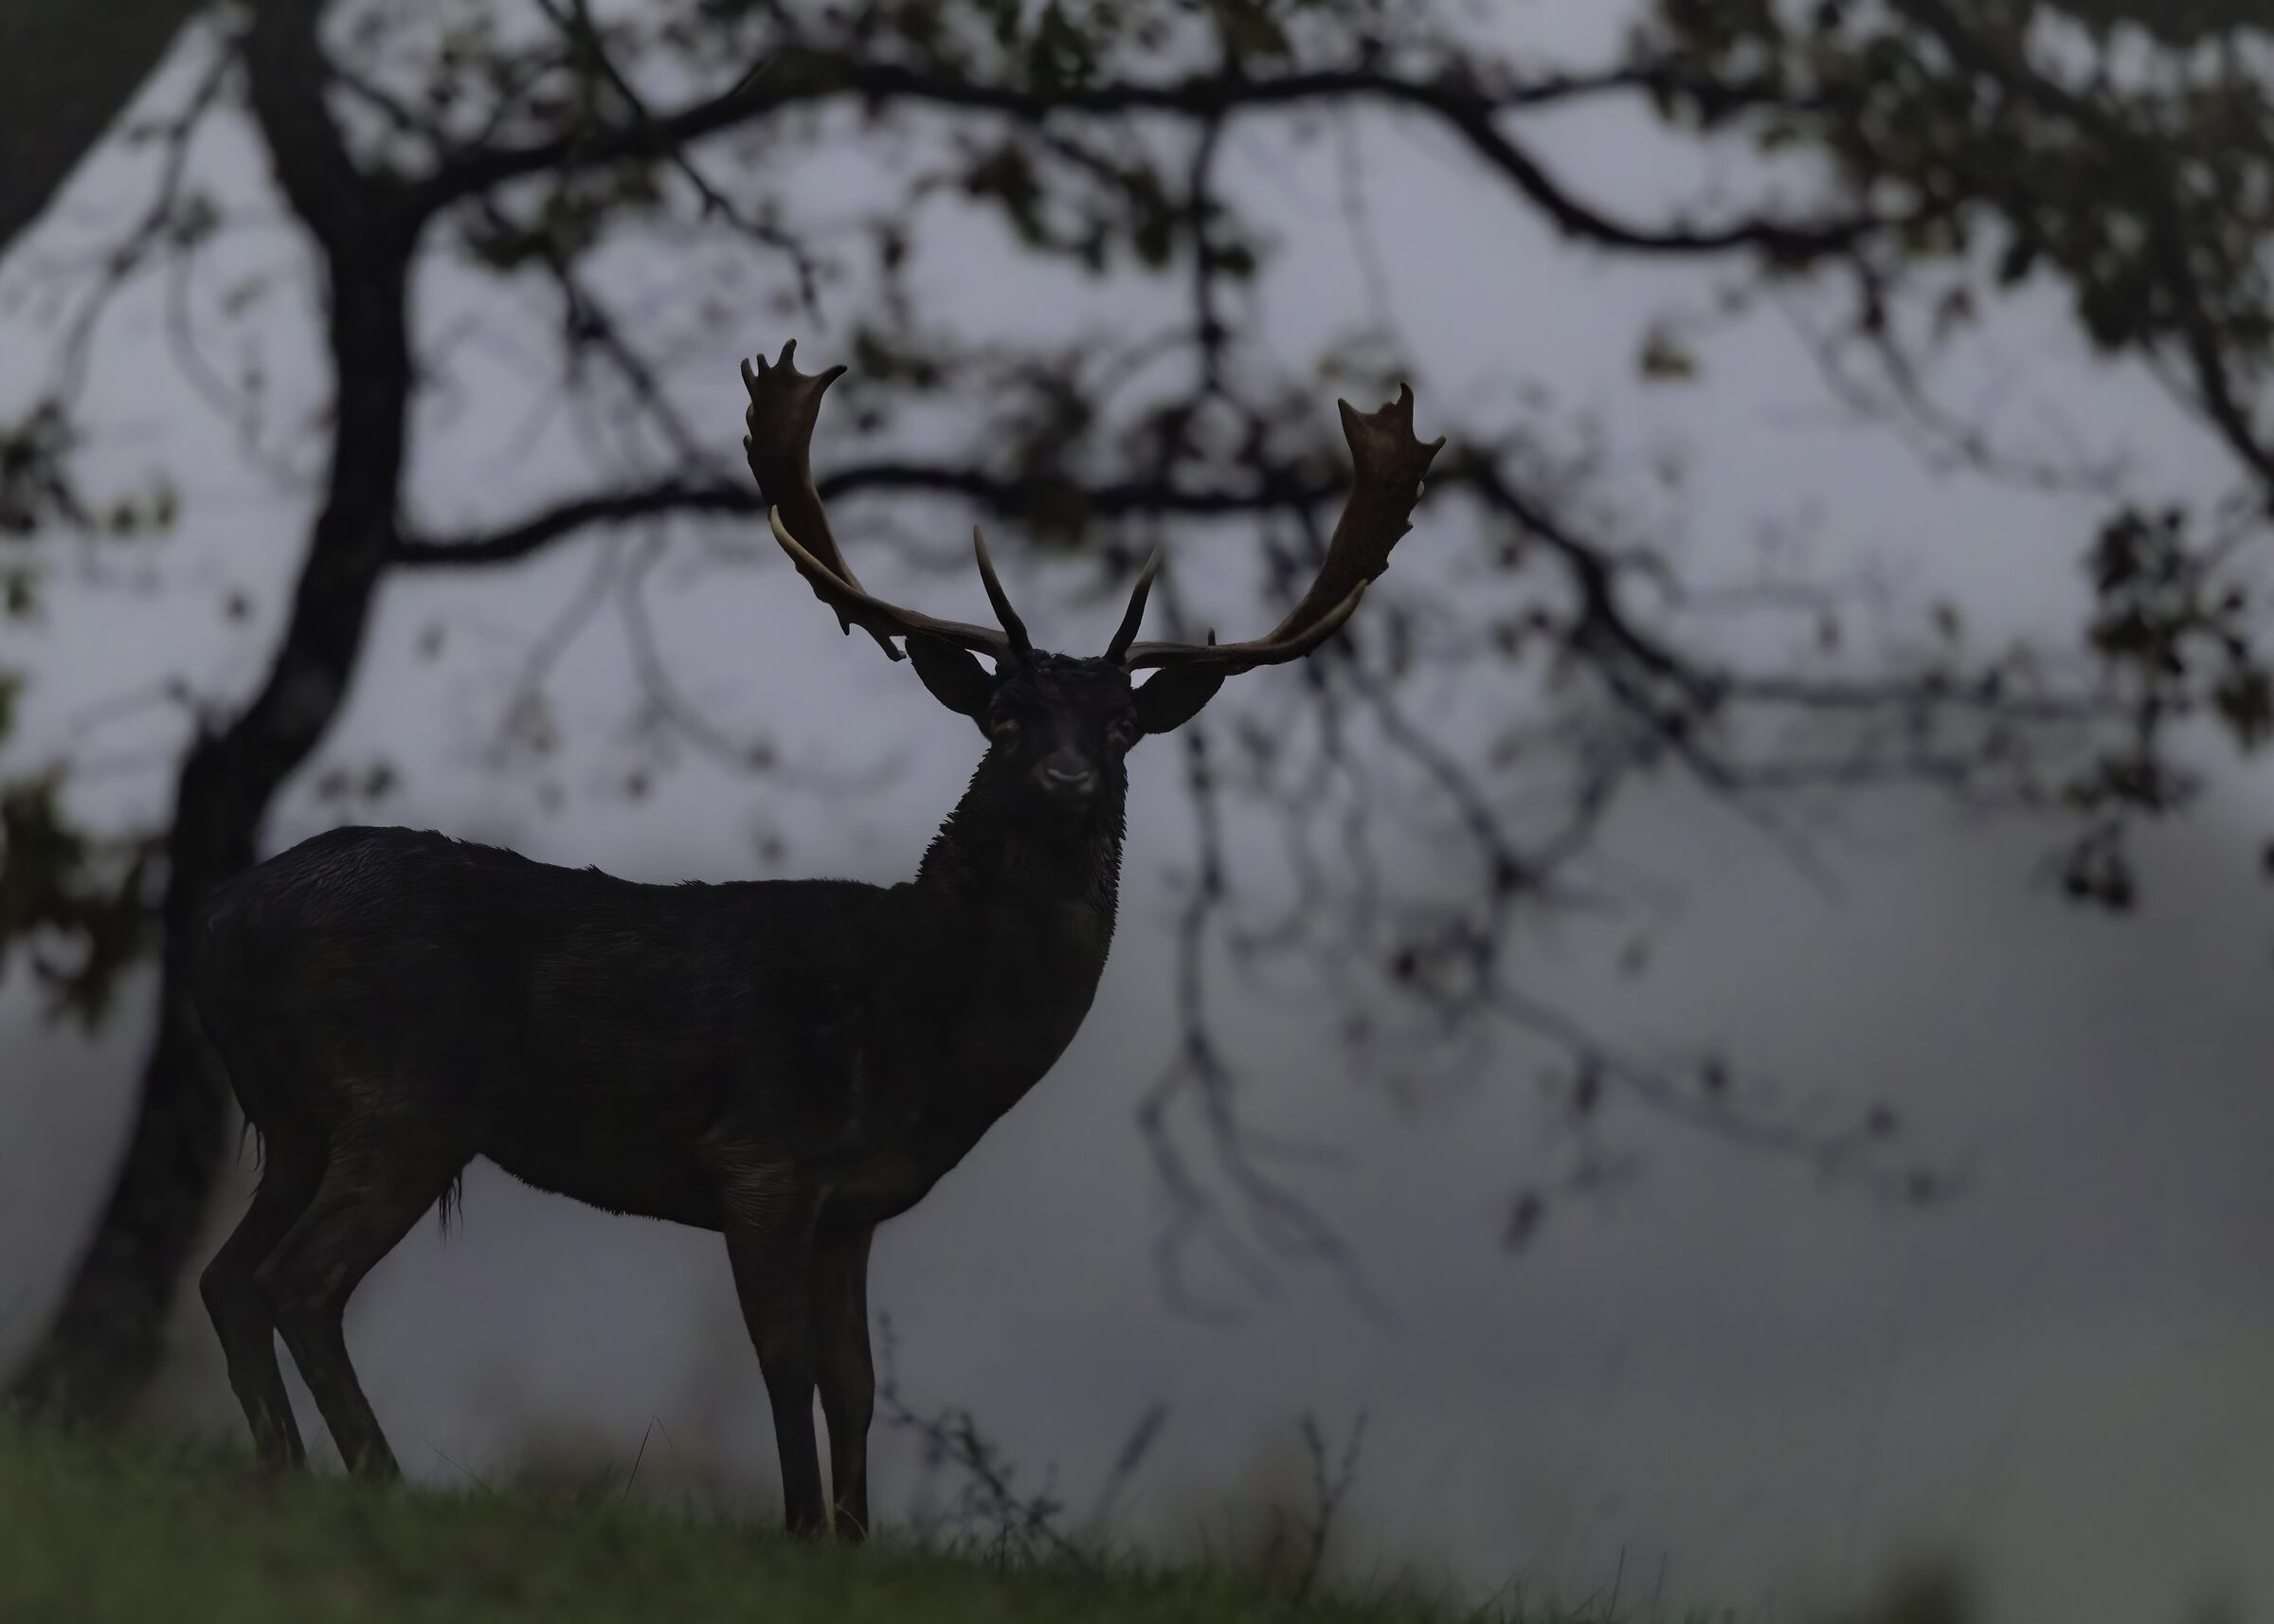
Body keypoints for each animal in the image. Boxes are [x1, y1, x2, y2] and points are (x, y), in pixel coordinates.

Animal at [186, 340, 1441, 1539]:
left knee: (227, 1278)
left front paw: (852, 1536)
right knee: (300, 1282)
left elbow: (857, 1381)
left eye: (1125, 725)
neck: (920, 1036)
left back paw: (279, 1473)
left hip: (296, 1114)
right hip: (404, 1097)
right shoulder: (760, 1156)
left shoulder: (853, 1205)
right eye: (1004, 716)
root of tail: (221, 921)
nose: (1067, 780)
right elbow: (784, 1365)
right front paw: (795, 1528)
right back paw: (374, 1481)